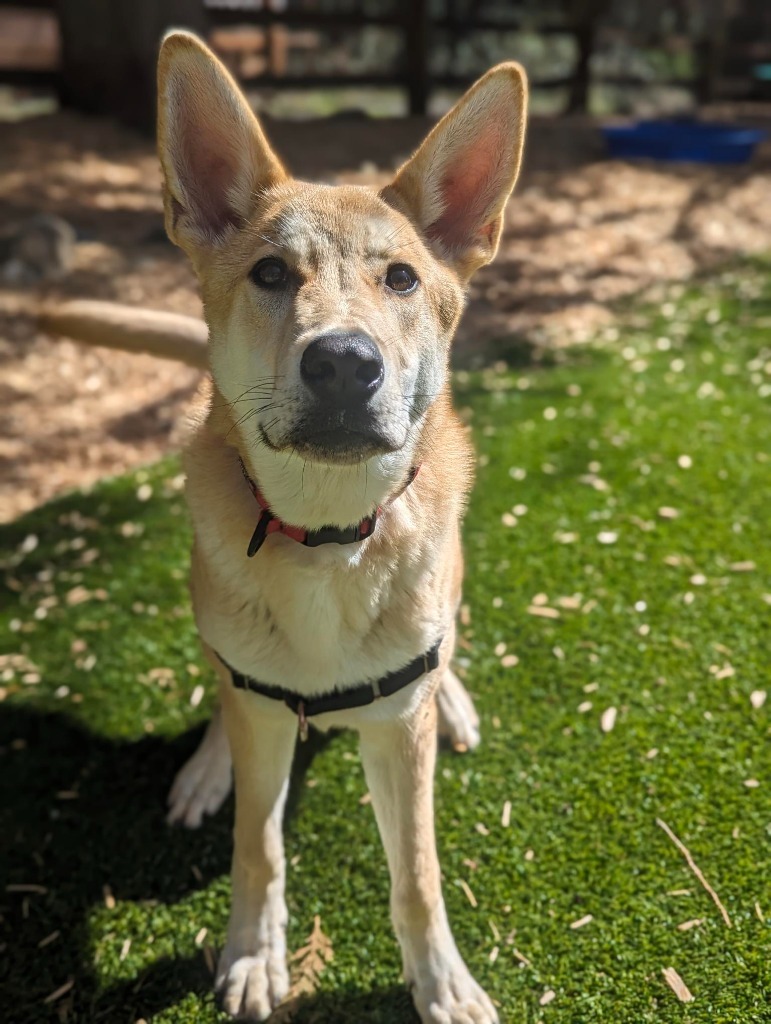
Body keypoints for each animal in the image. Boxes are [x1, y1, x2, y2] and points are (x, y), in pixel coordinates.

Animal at [156, 32, 528, 1024]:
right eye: (270, 273)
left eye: (400, 277)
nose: (343, 362)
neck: (326, 537)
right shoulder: (260, 710)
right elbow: (257, 844)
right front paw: (253, 954)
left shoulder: (397, 735)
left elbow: (418, 875)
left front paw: (441, 982)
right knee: (224, 685)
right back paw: (206, 765)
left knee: (443, 650)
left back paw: (456, 698)